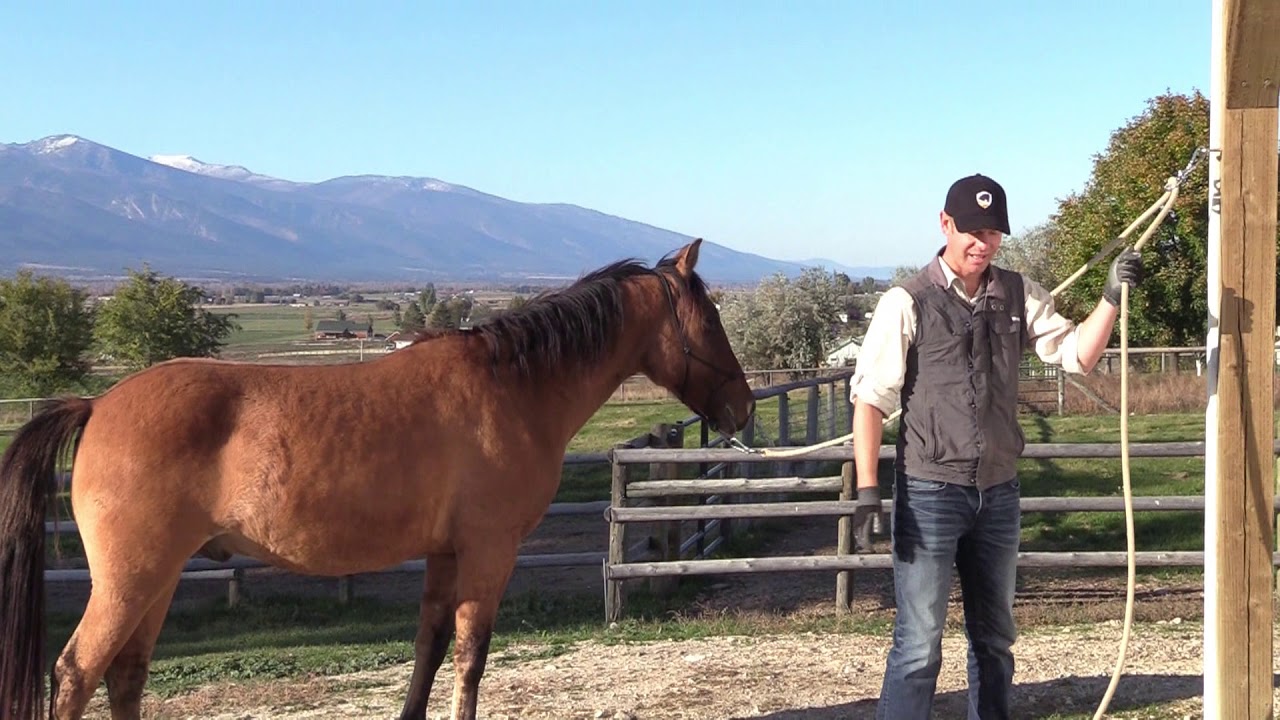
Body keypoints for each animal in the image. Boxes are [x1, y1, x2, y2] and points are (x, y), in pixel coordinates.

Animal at [0, 239, 755, 720]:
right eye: (711, 316)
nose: (743, 406)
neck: (512, 387)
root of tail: (97, 404)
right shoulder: (489, 552)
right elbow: (471, 656)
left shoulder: (445, 554)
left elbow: (429, 649)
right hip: (130, 580)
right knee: (76, 675)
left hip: (155, 580)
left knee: (125, 676)